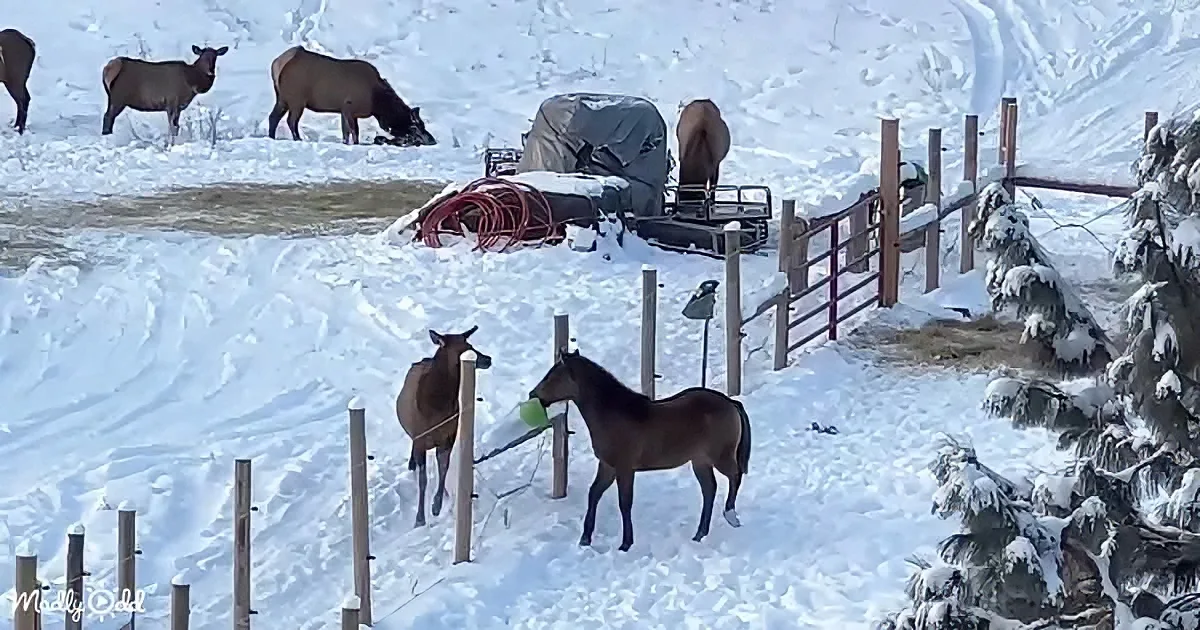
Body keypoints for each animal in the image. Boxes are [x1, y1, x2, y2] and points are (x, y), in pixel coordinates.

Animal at [268, 45, 436, 146]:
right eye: (415, 127)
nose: (432, 140)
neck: (377, 103)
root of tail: (277, 63)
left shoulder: (344, 110)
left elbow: (345, 132)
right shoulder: (350, 107)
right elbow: (354, 131)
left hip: (282, 98)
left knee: (273, 117)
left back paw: (271, 137)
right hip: (297, 100)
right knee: (291, 121)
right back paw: (298, 139)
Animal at [396, 326, 492, 527]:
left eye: (470, 344)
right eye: (465, 348)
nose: (488, 359)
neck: (438, 406)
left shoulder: (448, 438)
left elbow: (444, 470)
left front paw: (436, 505)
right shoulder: (420, 439)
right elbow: (423, 480)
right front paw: (419, 518)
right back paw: (411, 464)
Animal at [528, 349, 750, 551]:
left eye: (552, 376)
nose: (533, 394)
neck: (613, 414)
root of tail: (731, 403)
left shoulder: (625, 468)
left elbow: (624, 503)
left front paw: (626, 544)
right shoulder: (607, 466)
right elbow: (594, 494)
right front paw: (585, 539)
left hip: (721, 456)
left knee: (735, 475)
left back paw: (730, 515)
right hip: (700, 461)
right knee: (709, 490)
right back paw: (699, 534)